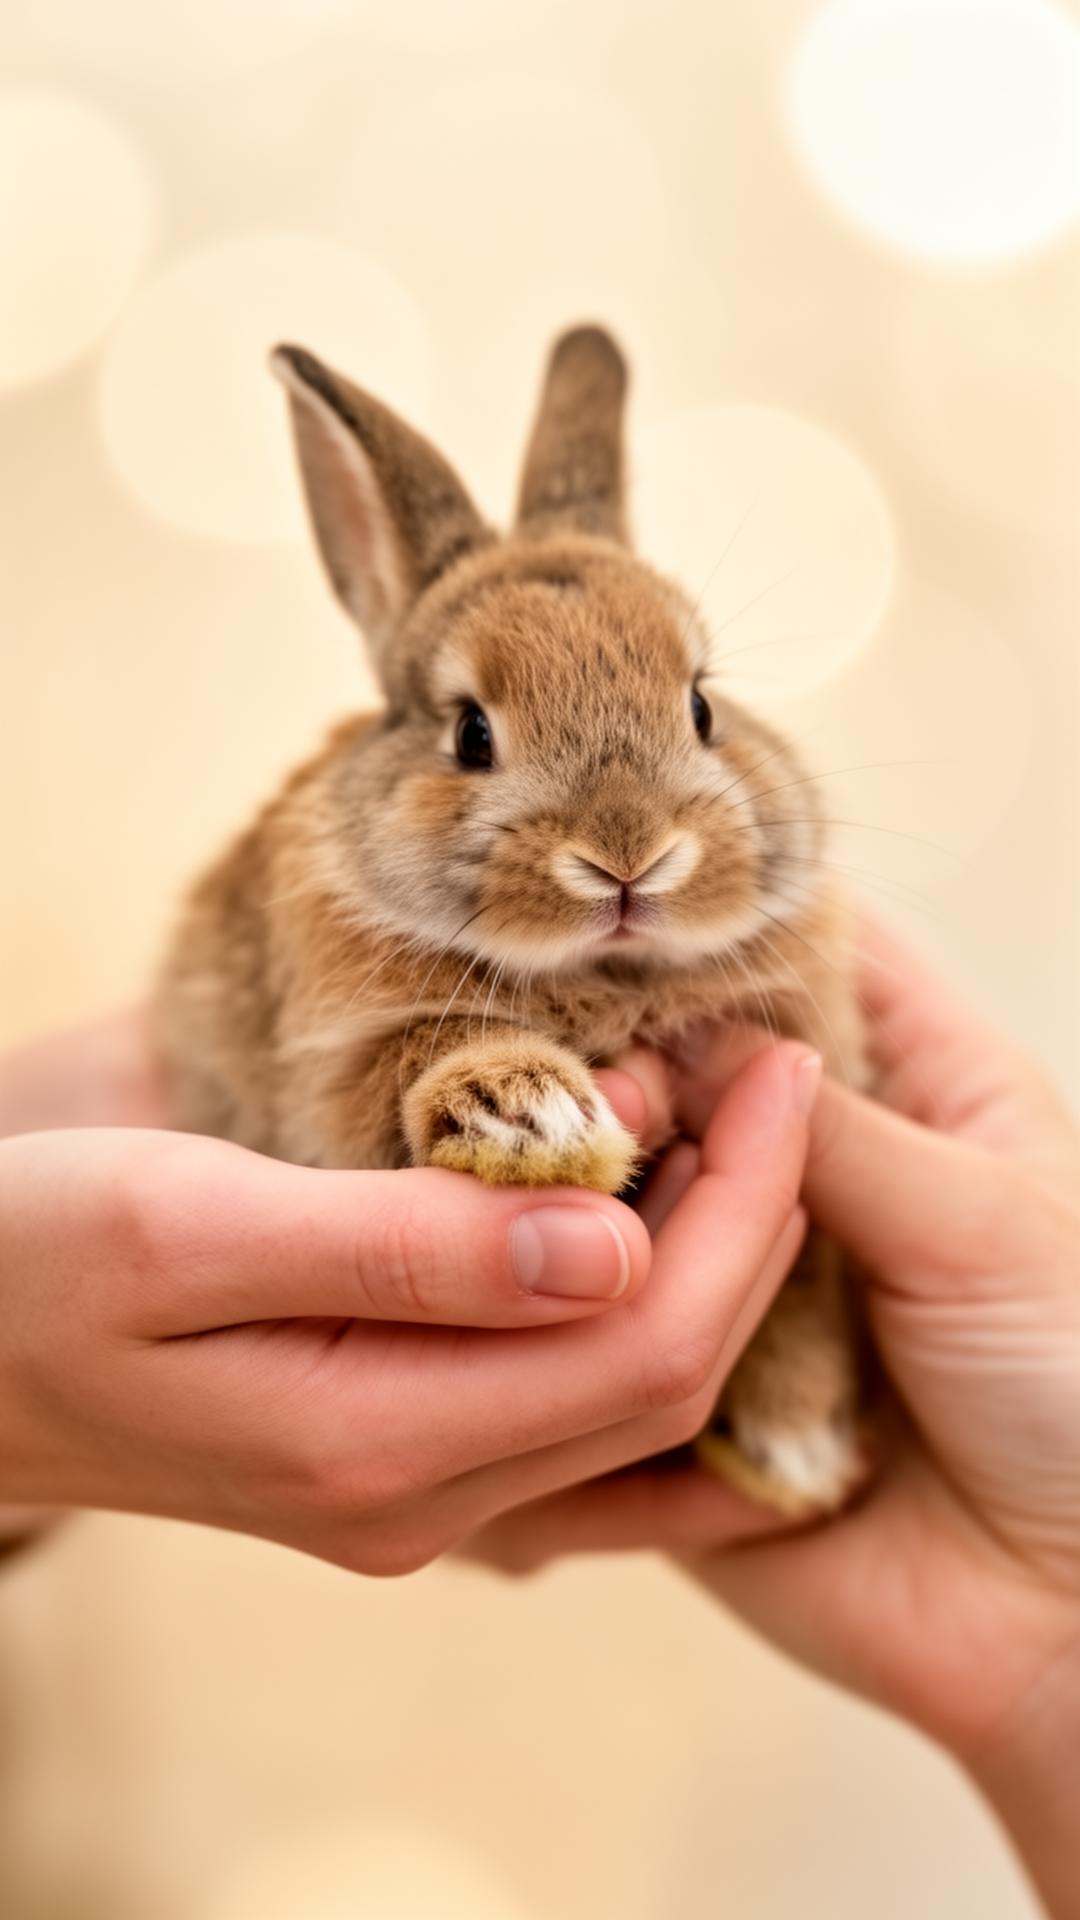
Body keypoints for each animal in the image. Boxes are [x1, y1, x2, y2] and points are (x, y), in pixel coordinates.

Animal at [155, 324, 865, 1514]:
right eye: (471, 734)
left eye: (703, 707)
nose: (630, 855)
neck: (612, 980)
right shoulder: (337, 1066)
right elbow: (420, 1063)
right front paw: (531, 1115)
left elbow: (801, 1281)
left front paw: (797, 1450)